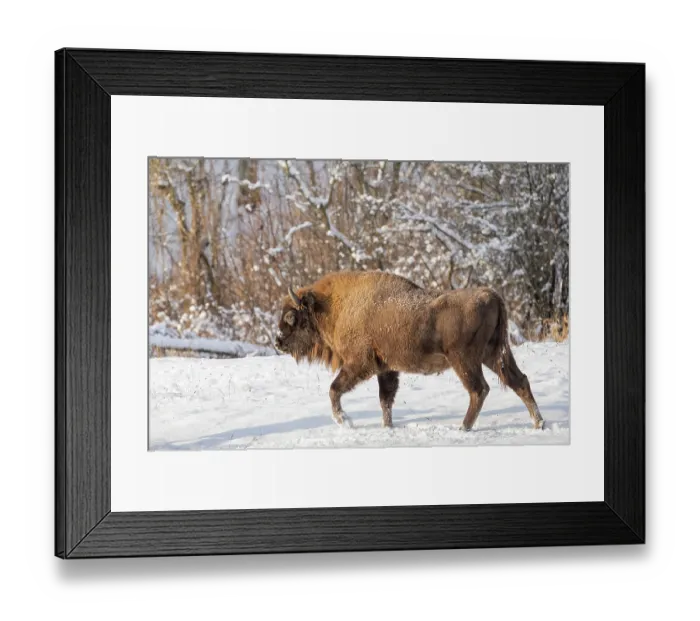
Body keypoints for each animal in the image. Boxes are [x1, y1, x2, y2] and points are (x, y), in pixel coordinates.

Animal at [274, 270, 544, 431]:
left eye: (292, 317)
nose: (277, 343)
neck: (333, 307)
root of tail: (492, 296)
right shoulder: (386, 369)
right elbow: (385, 400)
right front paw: (387, 428)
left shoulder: (359, 364)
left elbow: (334, 389)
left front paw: (344, 421)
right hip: (494, 355)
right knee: (519, 381)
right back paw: (538, 423)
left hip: (465, 360)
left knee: (479, 389)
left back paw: (463, 428)